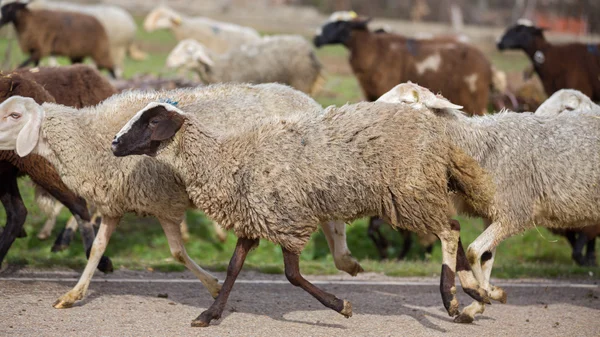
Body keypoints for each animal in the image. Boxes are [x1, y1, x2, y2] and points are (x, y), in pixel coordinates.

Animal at [110, 85, 494, 326]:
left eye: (152, 121)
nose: (114, 143)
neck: (225, 157)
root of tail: (438, 135)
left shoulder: (287, 220)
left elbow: (292, 276)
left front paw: (341, 307)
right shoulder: (256, 217)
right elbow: (234, 268)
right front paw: (209, 314)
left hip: (411, 193)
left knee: (449, 231)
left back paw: (450, 297)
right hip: (418, 194)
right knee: (453, 232)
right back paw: (471, 296)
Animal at [312, 11, 494, 115]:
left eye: (340, 24)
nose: (316, 39)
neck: (375, 49)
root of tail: (487, 63)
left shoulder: (384, 85)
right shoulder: (370, 92)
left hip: (475, 97)